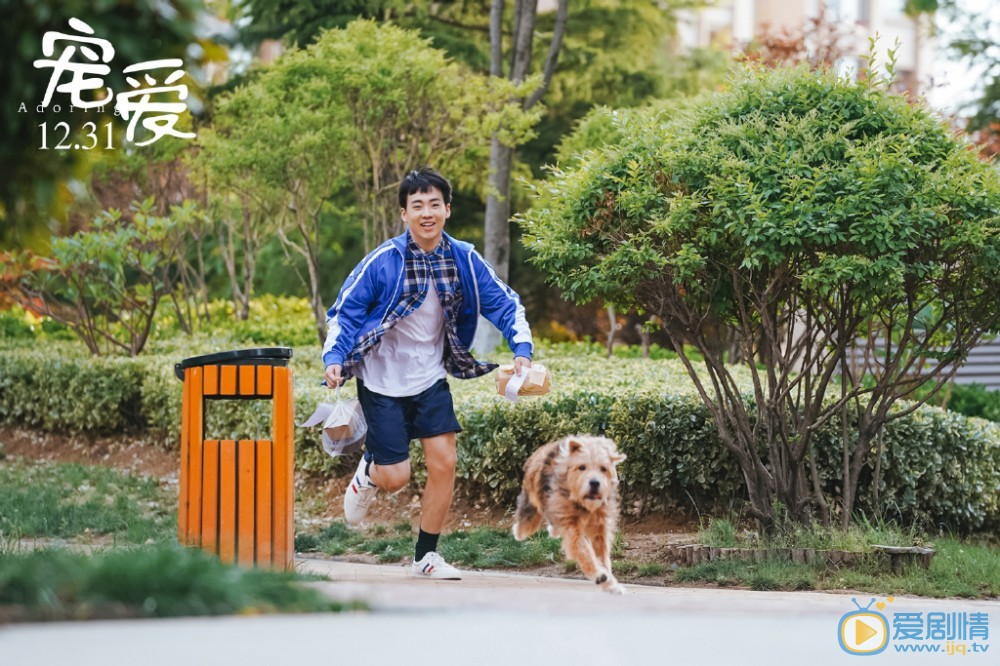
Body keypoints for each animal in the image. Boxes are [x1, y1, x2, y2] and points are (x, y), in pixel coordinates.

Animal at [516, 436, 624, 592]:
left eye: (603, 469)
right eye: (582, 467)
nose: (594, 483)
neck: (584, 504)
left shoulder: (600, 528)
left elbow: (602, 555)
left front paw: (610, 584)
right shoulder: (572, 526)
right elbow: (584, 551)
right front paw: (599, 575)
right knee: (529, 520)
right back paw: (521, 531)